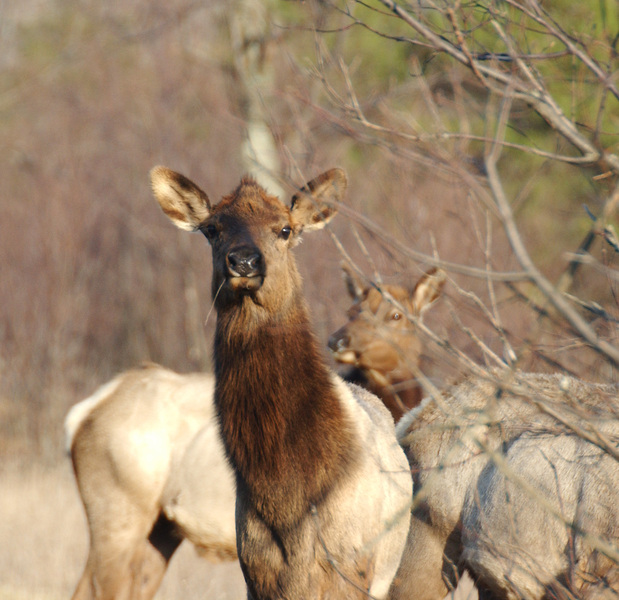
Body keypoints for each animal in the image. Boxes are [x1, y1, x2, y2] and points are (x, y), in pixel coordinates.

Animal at [151, 166, 414, 600]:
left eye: (285, 229)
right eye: (212, 229)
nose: (244, 260)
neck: (284, 488)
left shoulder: (350, 568)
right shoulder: (257, 573)